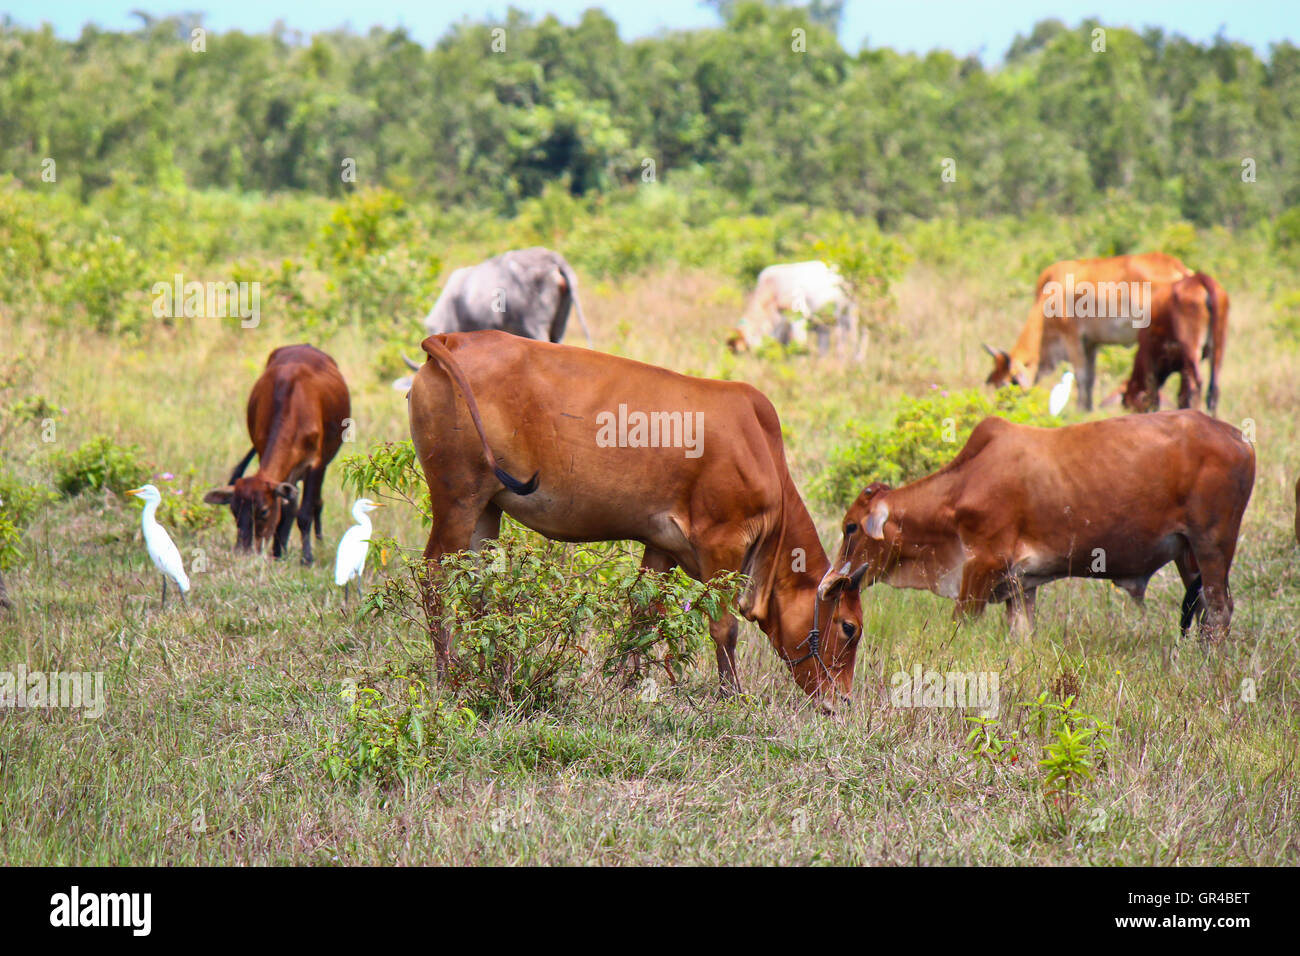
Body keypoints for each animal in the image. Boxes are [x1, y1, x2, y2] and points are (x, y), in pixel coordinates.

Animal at [204, 345, 351, 566]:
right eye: (233, 510)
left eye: (264, 511)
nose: (243, 553)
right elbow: (286, 510)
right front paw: (278, 553)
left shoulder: (315, 465)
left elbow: (304, 513)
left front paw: (306, 559)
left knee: (317, 503)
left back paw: (319, 543)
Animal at [406, 330, 865, 709]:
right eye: (849, 628)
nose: (841, 702)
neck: (762, 449)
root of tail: (451, 339)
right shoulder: (722, 544)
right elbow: (724, 627)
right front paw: (733, 696)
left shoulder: (662, 546)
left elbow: (641, 614)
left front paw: (622, 685)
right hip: (457, 498)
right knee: (434, 575)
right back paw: (449, 677)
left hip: (487, 506)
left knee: (477, 587)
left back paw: (495, 669)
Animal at [817, 411, 1254, 645]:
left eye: (851, 527)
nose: (827, 585)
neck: (961, 489)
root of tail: (1237, 436)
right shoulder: (1019, 585)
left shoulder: (980, 570)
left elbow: (960, 624)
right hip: (1187, 553)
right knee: (1204, 608)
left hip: (1213, 545)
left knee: (1219, 610)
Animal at [985, 252, 1193, 410]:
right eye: (994, 384)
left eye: (1009, 383)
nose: (1002, 409)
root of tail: (1179, 269)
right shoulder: (1091, 344)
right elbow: (1091, 378)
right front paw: (1088, 409)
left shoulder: (1072, 338)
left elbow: (1081, 376)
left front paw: (1079, 411)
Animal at [1118, 273, 1228, 414]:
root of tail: (1199, 277)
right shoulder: (1183, 367)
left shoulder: (1150, 360)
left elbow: (1154, 395)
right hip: (1218, 346)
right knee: (1213, 390)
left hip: (1191, 348)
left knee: (1196, 385)